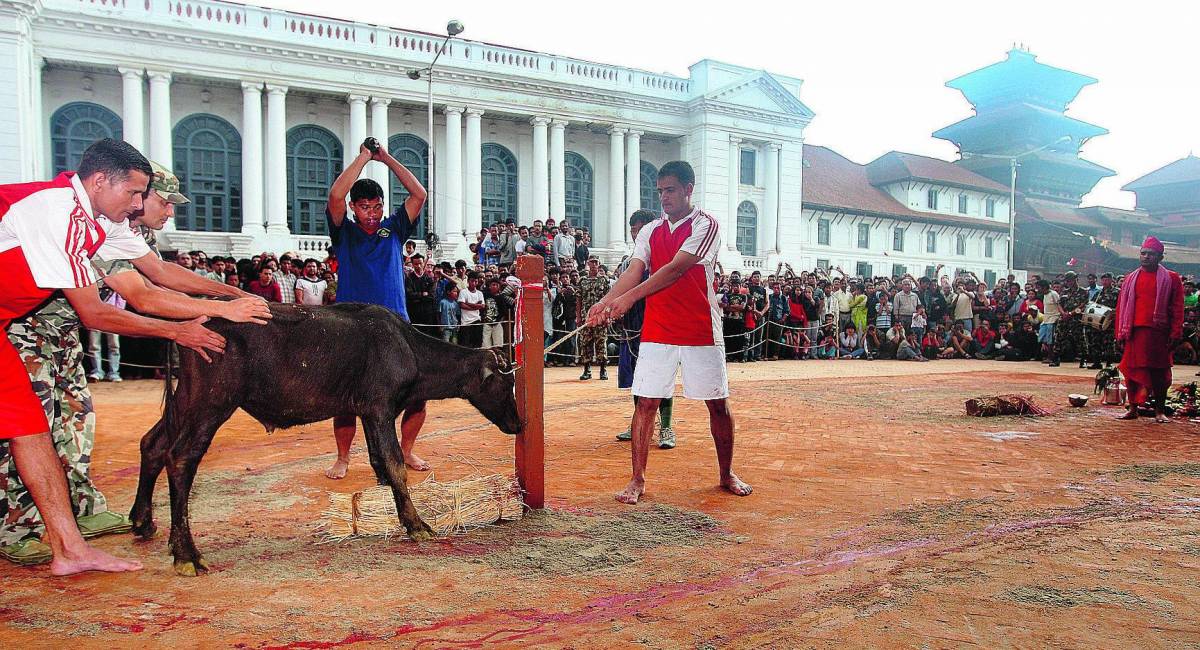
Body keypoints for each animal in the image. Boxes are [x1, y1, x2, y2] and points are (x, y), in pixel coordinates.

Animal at [129, 303, 523, 578]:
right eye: (506, 384)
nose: (519, 424)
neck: (406, 347)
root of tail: (193, 323)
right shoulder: (380, 409)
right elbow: (395, 464)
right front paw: (416, 524)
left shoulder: (366, 413)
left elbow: (380, 463)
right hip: (211, 404)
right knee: (181, 459)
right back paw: (186, 554)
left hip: (185, 401)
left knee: (153, 444)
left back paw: (144, 521)